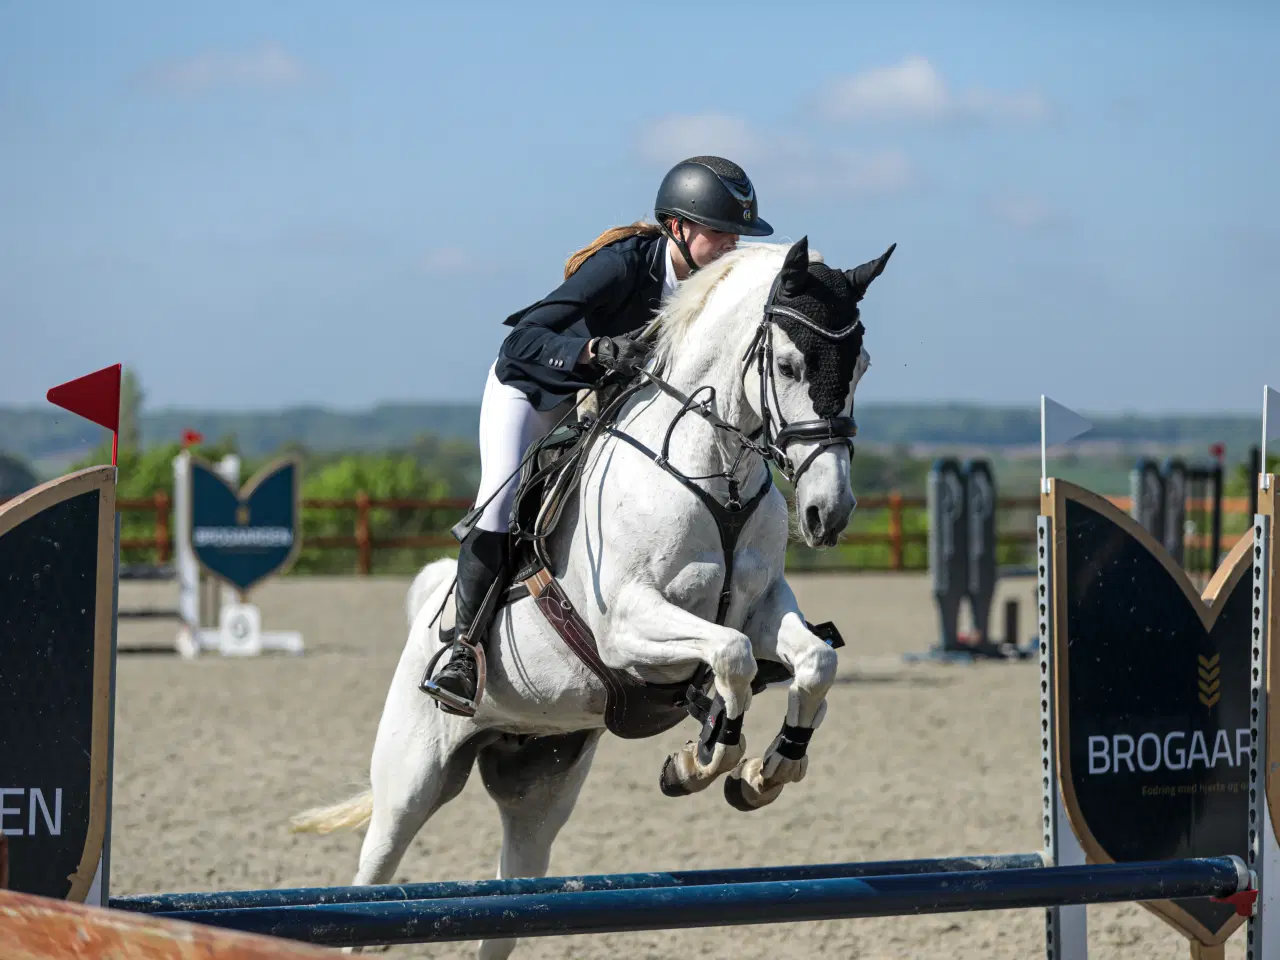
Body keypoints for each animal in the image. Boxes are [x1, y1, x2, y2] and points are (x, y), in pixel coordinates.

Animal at [293, 236, 890, 957]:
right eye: (788, 364)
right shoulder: (627, 624)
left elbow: (811, 661)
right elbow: (733, 656)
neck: (710, 467)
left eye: (860, 366)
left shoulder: (763, 605)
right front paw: (705, 756)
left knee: (510, 899)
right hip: (411, 780)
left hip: (540, 787)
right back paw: (456, 671)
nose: (829, 513)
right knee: (373, 879)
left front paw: (764, 771)